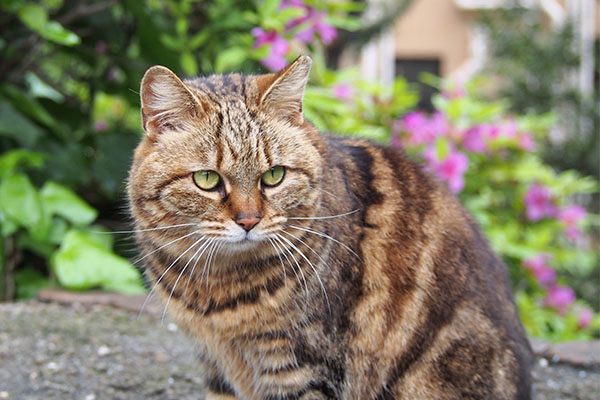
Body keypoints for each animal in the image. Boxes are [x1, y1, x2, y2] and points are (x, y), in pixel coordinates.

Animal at [129, 57, 532, 400]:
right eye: (207, 179)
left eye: (274, 176)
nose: (248, 220)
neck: (216, 290)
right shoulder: (217, 368)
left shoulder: (302, 367)